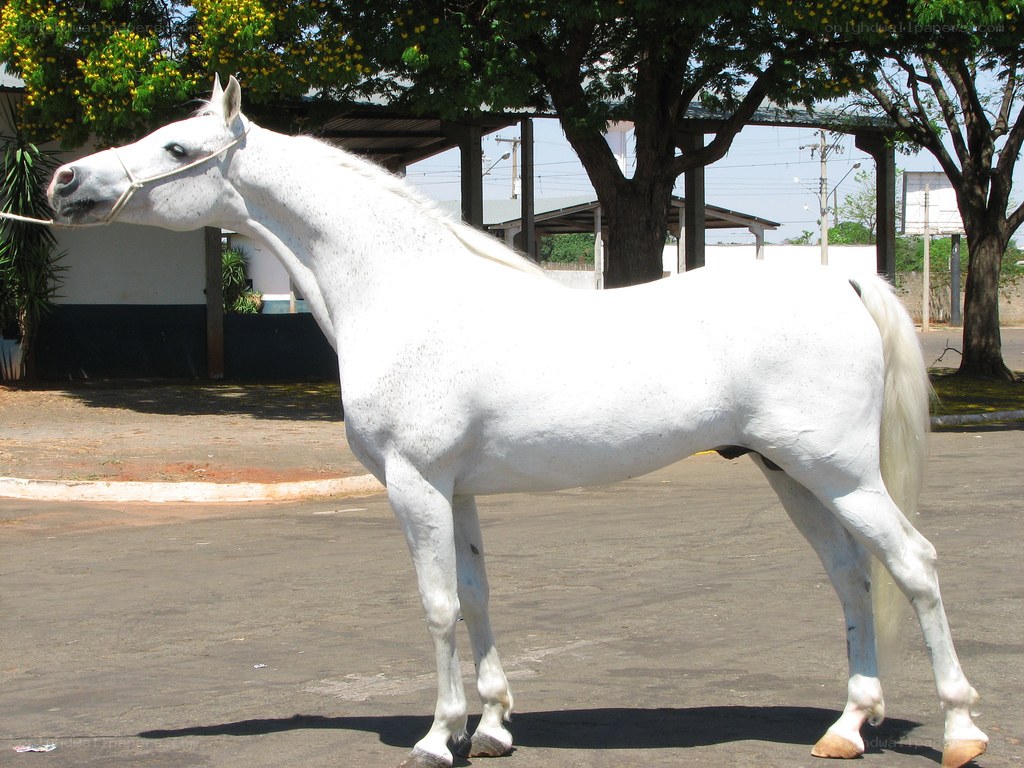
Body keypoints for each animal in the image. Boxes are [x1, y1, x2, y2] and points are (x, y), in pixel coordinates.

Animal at [44, 76, 987, 768]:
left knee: (915, 566)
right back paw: (846, 728)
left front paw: (437, 738)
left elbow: (435, 605)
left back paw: (961, 732)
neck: (405, 294)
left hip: (841, 473)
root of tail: (840, 280)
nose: (63, 182)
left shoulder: (415, 484)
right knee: (851, 577)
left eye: (176, 147)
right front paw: (493, 725)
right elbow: (476, 593)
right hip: (792, 473)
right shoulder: (456, 491)